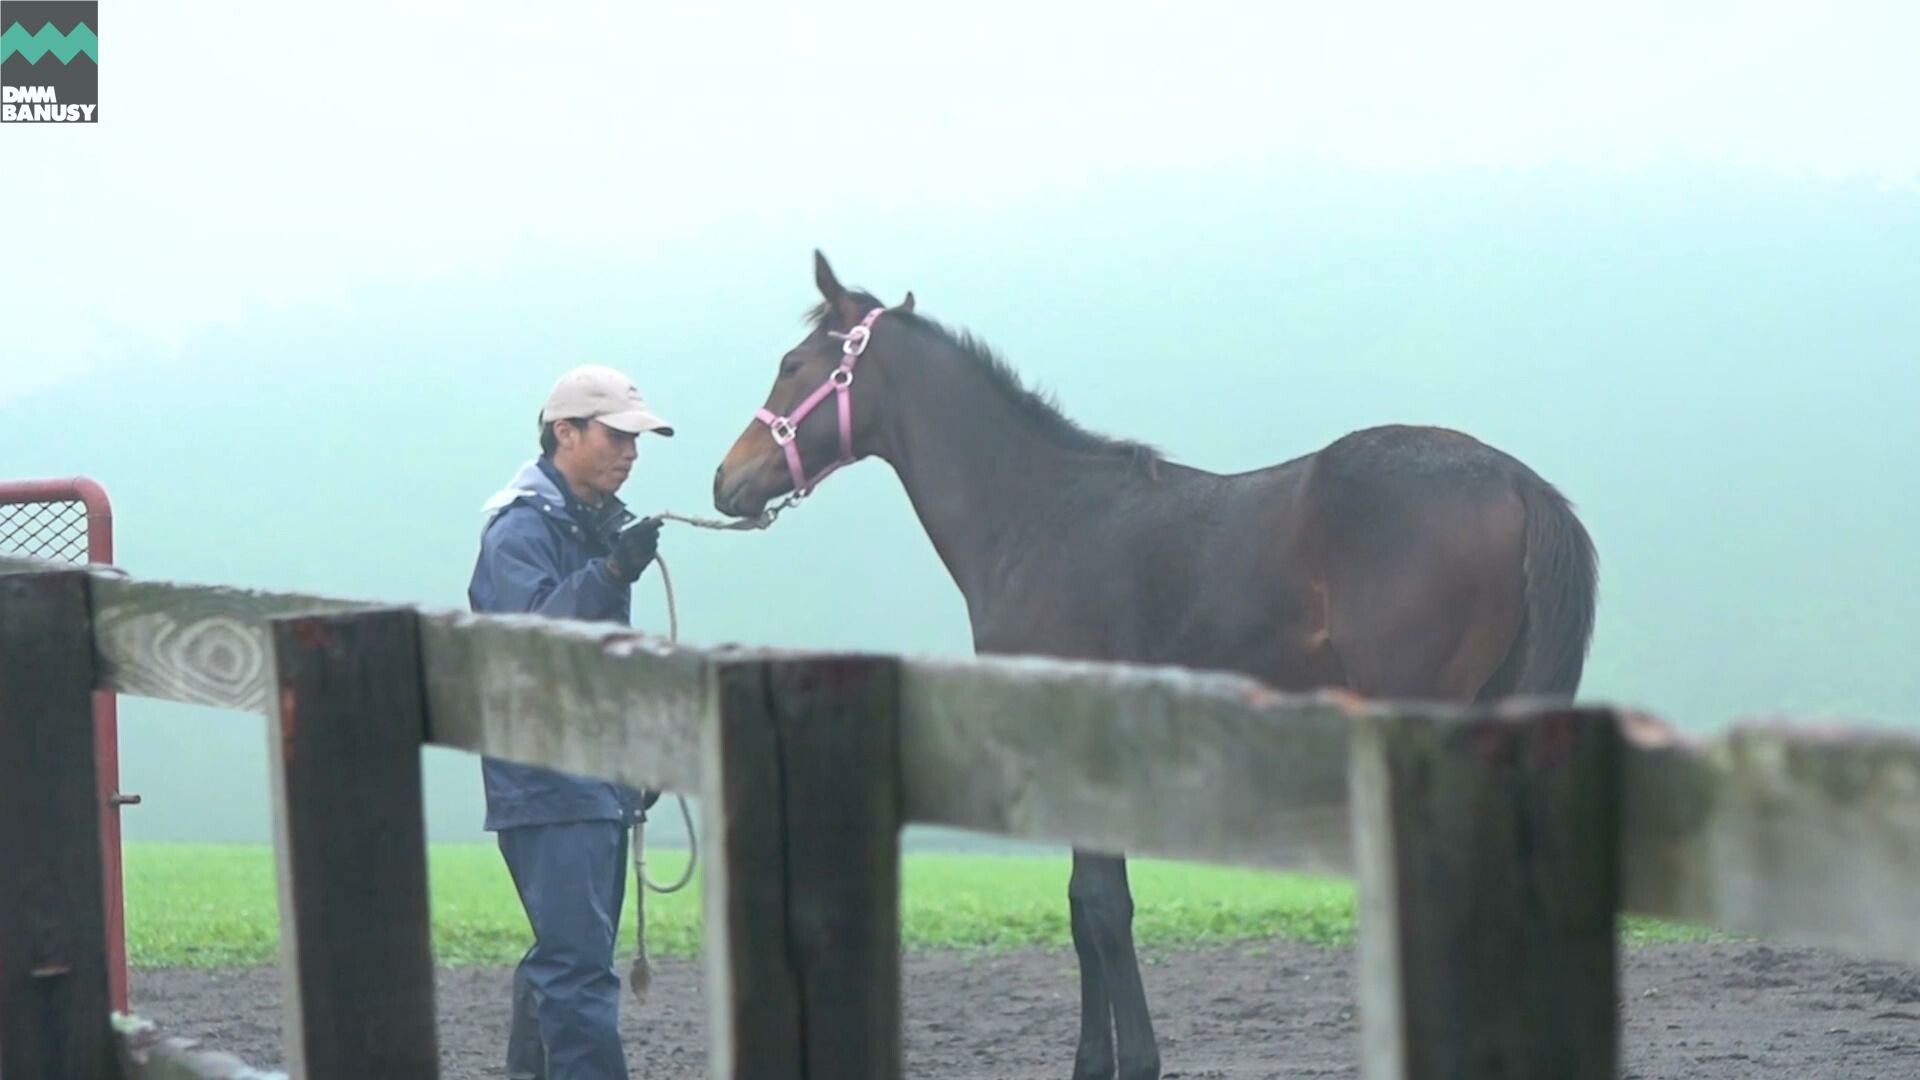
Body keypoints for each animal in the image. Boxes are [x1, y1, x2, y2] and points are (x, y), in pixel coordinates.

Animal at [714, 251, 1597, 1076]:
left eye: (793, 363)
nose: (727, 480)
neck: (1038, 515)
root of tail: (1518, 482)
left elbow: (1101, 904)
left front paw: (1130, 1059)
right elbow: (1085, 906)